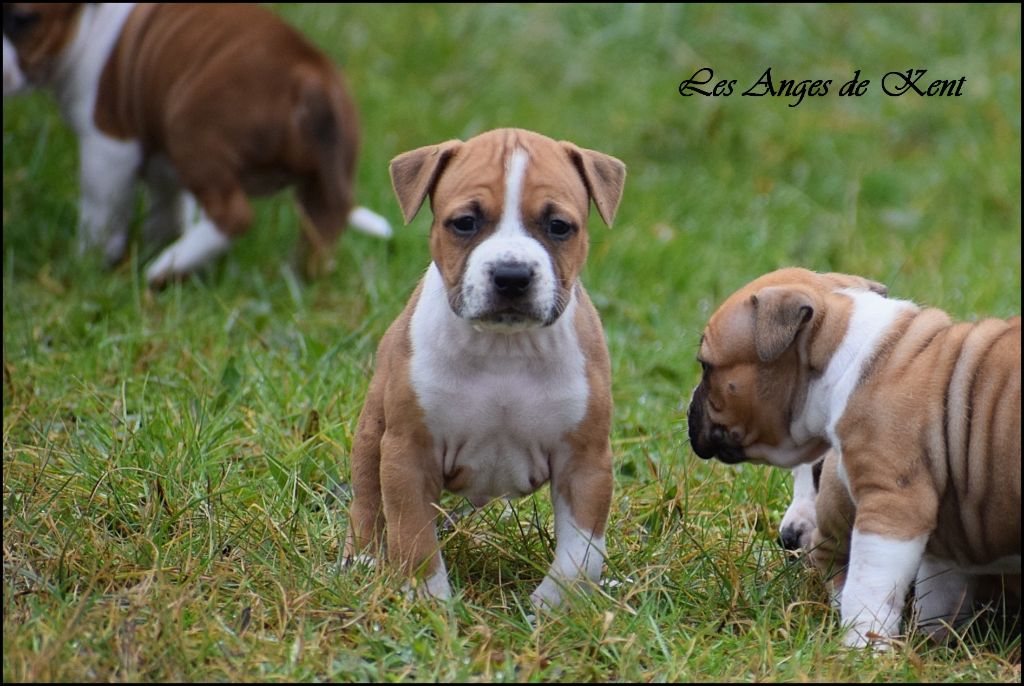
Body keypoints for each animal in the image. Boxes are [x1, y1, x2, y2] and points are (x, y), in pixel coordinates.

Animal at [3, 3, 387, 286]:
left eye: (22, 19)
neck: (91, 22)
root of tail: (307, 74)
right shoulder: (161, 162)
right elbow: (168, 207)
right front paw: (157, 239)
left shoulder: (109, 145)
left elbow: (101, 212)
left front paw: (88, 262)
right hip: (325, 178)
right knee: (323, 226)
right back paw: (300, 276)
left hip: (190, 132)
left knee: (233, 215)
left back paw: (168, 267)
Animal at [348, 127, 626, 606]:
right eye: (465, 222)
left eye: (558, 226)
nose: (512, 276)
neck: (504, 348)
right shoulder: (407, 454)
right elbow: (414, 539)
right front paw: (431, 606)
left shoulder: (586, 462)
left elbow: (581, 554)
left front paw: (550, 608)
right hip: (373, 432)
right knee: (366, 497)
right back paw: (362, 563)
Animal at [684, 268, 1019, 651]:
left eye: (706, 367)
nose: (786, 538)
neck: (854, 358)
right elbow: (937, 593)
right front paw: (930, 646)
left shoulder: (891, 505)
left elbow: (868, 587)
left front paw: (863, 647)